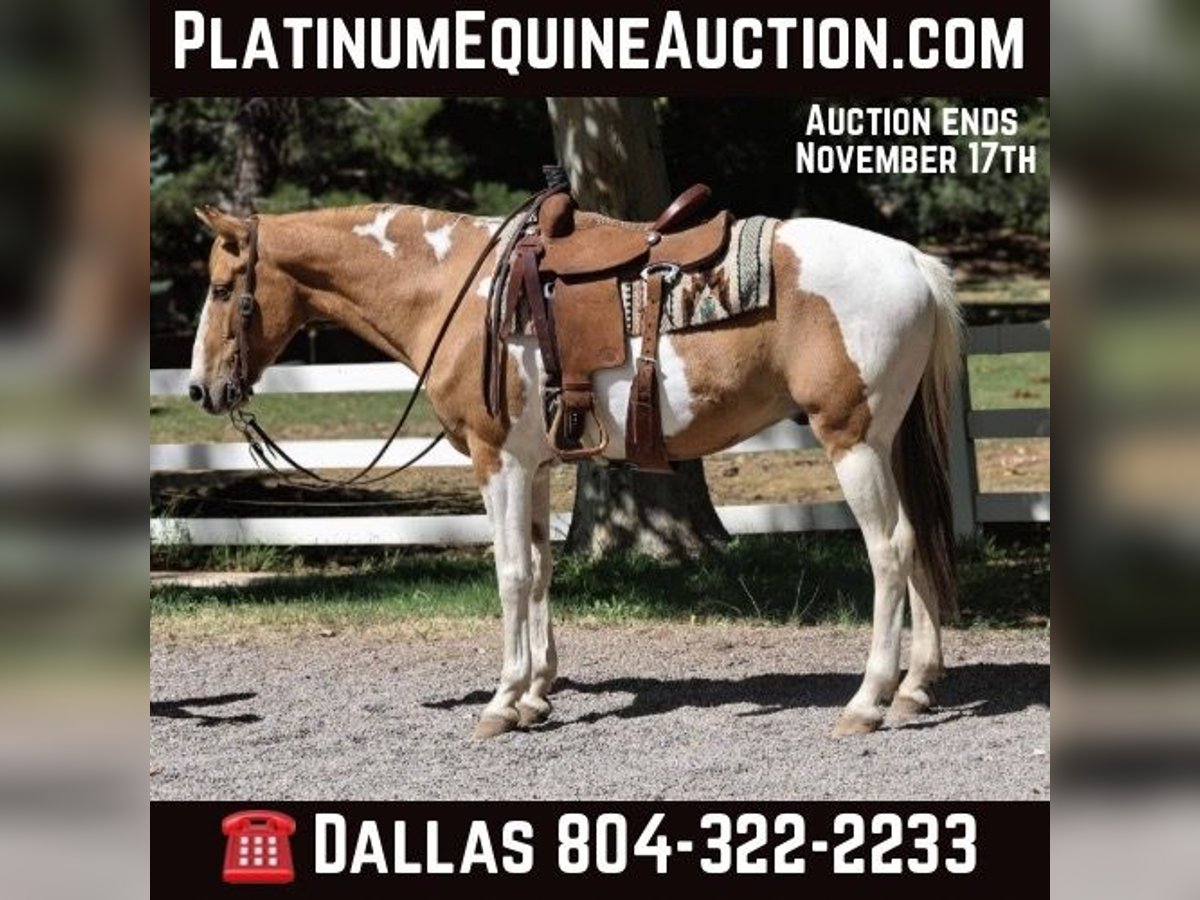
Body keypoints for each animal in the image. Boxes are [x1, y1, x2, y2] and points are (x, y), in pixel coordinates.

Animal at [186, 198, 962, 738]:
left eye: (223, 288)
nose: (200, 390)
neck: (456, 291)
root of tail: (912, 263)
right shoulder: (534, 464)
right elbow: (540, 566)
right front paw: (536, 694)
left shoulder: (497, 460)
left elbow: (509, 572)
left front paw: (502, 702)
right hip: (888, 441)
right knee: (920, 538)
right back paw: (915, 690)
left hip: (852, 439)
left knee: (889, 549)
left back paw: (867, 701)